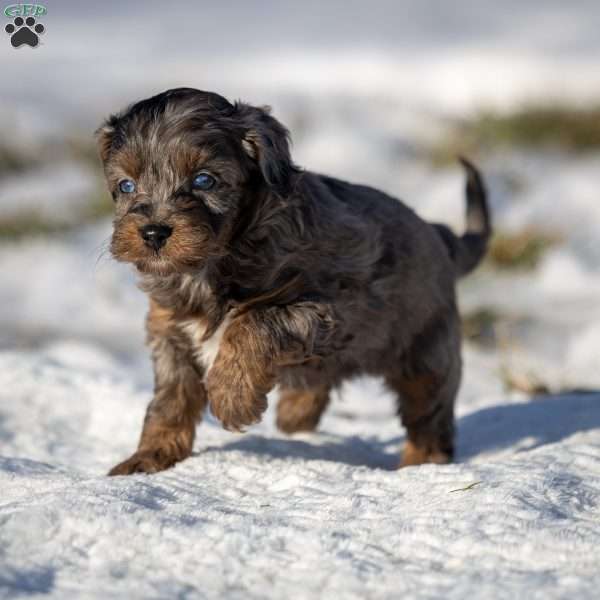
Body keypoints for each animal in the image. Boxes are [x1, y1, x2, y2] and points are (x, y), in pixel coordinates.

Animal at [98, 88, 490, 474]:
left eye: (204, 180)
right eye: (126, 185)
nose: (153, 232)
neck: (211, 266)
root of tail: (440, 235)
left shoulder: (331, 307)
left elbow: (251, 323)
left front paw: (231, 397)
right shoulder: (169, 329)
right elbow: (170, 399)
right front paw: (149, 457)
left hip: (426, 350)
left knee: (428, 414)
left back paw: (421, 465)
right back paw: (295, 414)